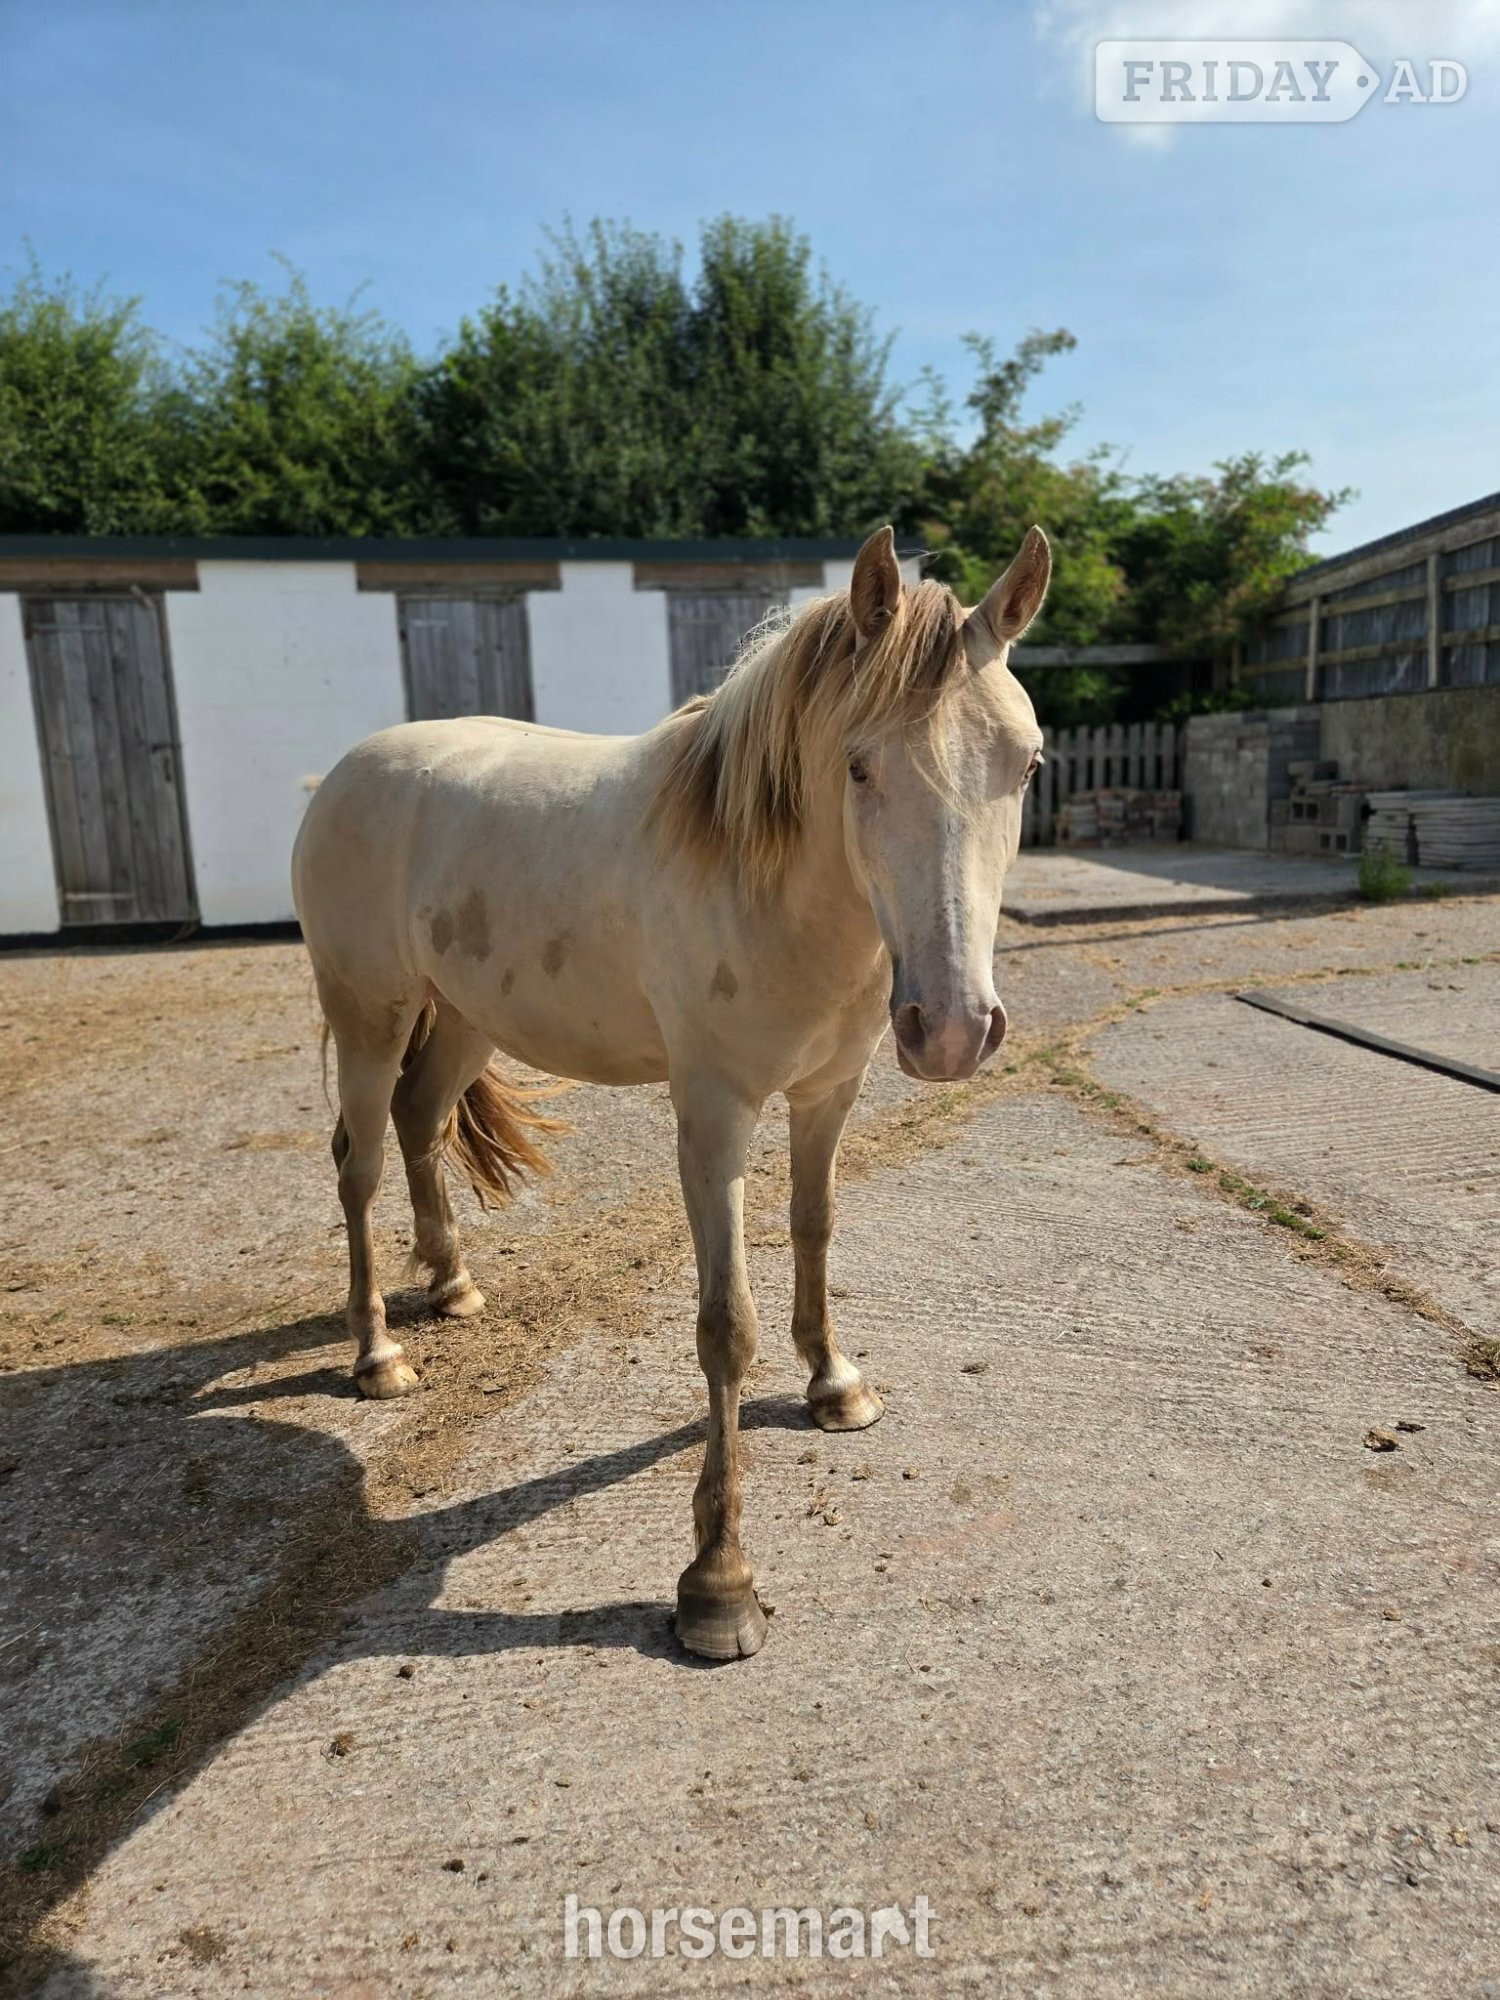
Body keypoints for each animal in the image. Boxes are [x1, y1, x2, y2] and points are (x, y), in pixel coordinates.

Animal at [292, 524, 1049, 1659]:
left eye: (1028, 763)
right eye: (859, 764)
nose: (954, 1027)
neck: (763, 878)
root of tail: (343, 772)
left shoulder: (828, 1093)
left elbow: (815, 1228)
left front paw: (834, 1384)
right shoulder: (714, 1116)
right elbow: (723, 1327)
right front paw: (719, 1584)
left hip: (464, 1016)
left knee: (421, 1124)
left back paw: (452, 1285)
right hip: (369, 1014)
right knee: (361, 1161)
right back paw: (377, 1353)